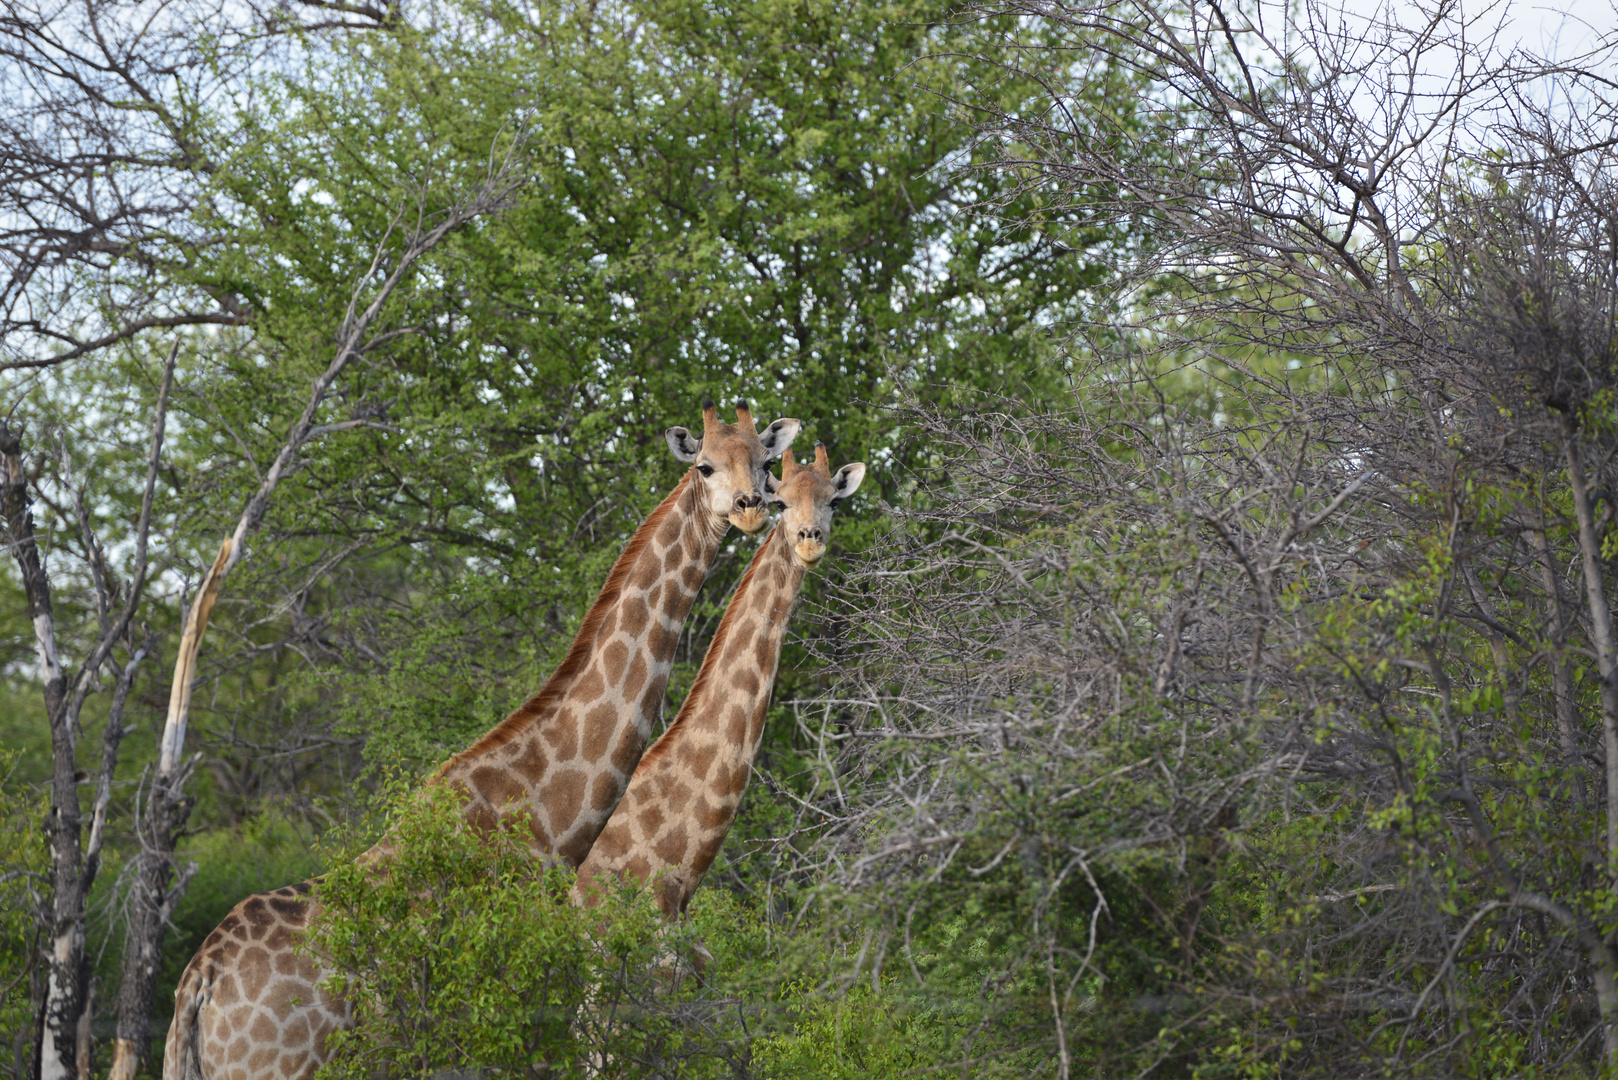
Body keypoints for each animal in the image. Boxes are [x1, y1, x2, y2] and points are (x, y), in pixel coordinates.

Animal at [164, 403, 796, 1080]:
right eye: (704, 464)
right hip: (279, 1066)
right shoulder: (513, 1020)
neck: (544, 812)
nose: (752, 506)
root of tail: (199, 984)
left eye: (764, 461)